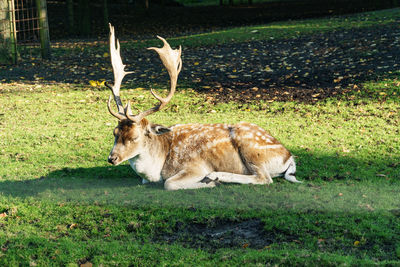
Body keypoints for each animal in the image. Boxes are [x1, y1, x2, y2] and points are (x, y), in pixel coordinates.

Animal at [104, 23, 302, 191]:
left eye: (135, 137)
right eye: (115, 133)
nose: (111, 158)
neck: (158, 167)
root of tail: (289, 158)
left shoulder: (195, 166)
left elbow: (169, 183)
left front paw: (209, 182)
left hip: (251, 149)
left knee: (263, 178)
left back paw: (216, 177)